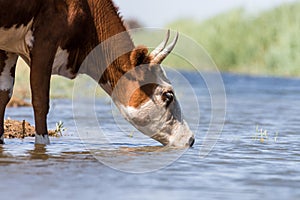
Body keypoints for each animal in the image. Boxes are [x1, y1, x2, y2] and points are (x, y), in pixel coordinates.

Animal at [0, 0, 195, 147]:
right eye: (168, 95)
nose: (191, 139)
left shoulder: (8, 46)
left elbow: (4, 94)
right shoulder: (45, 41)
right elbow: (41, 101)